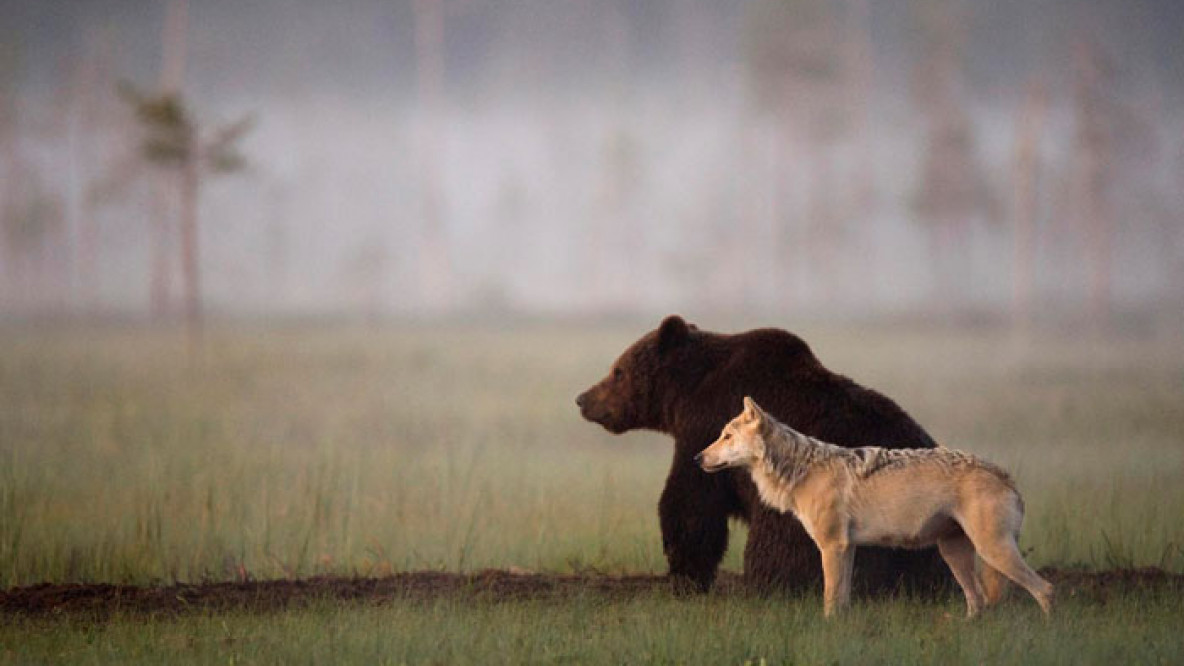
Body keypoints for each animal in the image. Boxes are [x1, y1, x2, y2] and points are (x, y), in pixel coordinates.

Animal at [577, 315, 947, 590]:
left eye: (618, 371)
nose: (583, 398)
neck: (687, 392)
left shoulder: (704, 429)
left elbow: (691, 502)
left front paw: (686, 574)